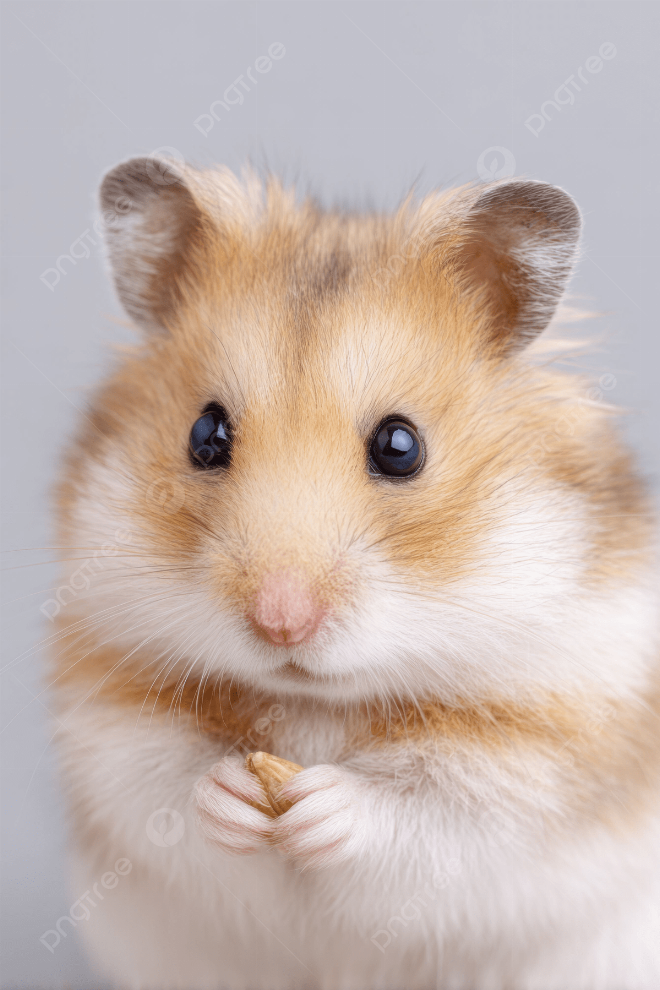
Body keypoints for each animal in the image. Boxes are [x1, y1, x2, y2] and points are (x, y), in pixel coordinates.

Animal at [50, 155, 660, 990]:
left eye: (401, 447)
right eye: (206, 435)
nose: (281, 622)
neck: (319, 704)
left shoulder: (541, 761)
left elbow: (425, 811)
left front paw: (321, 805)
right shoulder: (108, 721)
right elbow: (167, 781)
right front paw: (234, 792)